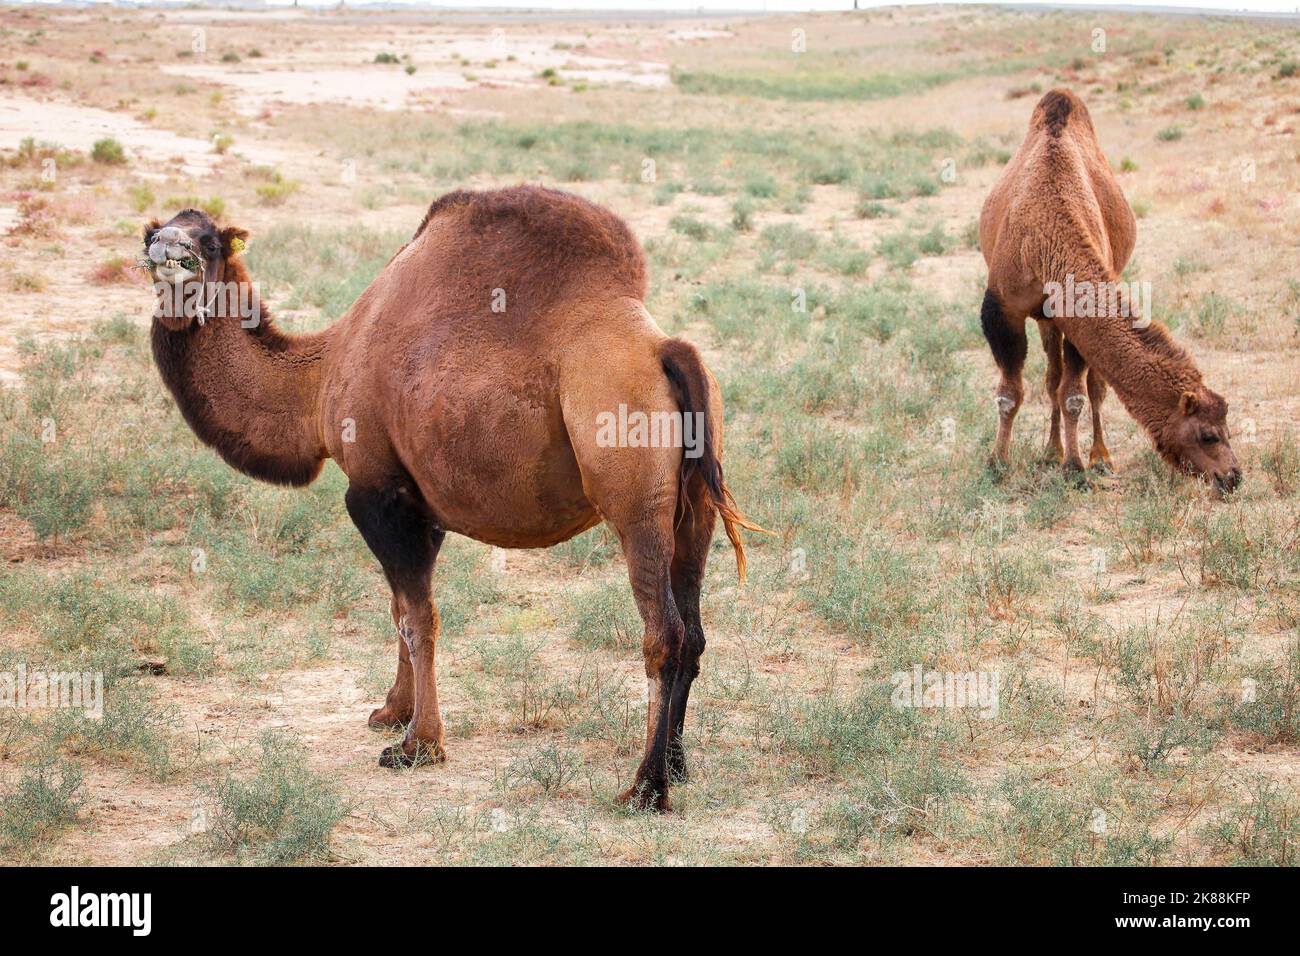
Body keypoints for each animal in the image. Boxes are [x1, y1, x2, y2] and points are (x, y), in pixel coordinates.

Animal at [139, 184, 759, 806]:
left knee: (664, 634)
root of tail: (666, 352)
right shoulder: (421, 503)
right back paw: (677, 765)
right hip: (693, 507)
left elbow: (418, 618)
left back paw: (645, 787)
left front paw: (418, 745)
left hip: (634, 500)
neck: (320, 376)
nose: (168, 249)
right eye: (151, 236)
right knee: (694, 631)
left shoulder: (376, 492)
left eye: (207, 241)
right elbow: (399, 610)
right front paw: (392, 712)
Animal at [977, 89, 1242, 494]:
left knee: (1088, 385)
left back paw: (1097, 457)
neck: (1044, 233)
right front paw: (998, 463)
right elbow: (1010, 394)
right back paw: (1050, 452)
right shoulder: (1003, 309)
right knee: (1052, 378)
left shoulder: (1077, 311)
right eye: (1209, 434)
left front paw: (1076, 466)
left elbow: (1074, 394)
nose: (1233, 476)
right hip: (1047, 318)